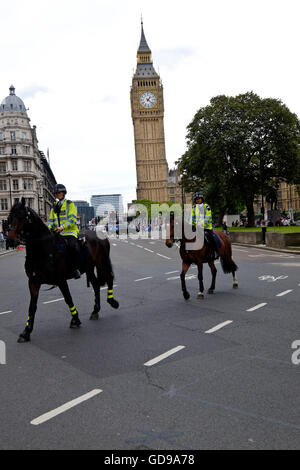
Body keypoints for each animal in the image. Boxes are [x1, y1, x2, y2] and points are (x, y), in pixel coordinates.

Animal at [7, 196, 119, 344]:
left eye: (22, 216)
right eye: (10, 216)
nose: (9, 239)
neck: (43, 250)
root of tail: (96, 231)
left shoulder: (60, 280)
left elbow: (68, 298)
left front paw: (75, 319)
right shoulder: (33, 282)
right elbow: (32, 307)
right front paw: (26, 332)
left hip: (102, 262)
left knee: (109, 277)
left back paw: (112, 302)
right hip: (89, 268)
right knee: (95, 285)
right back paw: (95, 311)